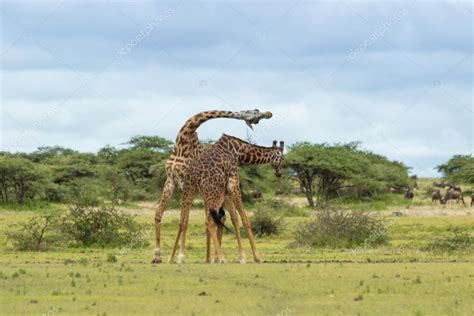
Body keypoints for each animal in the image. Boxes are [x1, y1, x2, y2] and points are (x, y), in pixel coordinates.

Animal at [152, 110, 270, 262]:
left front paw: (180, 256)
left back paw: (222, 257)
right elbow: (159, 214)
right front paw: (157, 256)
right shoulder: (170, 180)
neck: (181, 144)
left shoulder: (185, 183)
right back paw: (213, 258)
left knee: (226, 217)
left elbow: (185, 221)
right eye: (254, 113)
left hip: (221, 194)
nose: (268, 114)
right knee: (220, 217)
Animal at [168, 135, 284, 264]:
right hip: (214, 195)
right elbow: (244, 219)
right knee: (209, 221)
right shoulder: (233, 185)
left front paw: (241, 257)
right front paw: (256, 257)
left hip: (189, 192)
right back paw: (222, 258)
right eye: (282, 158)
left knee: (183, 221)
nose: (279, 173)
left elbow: (233, 218)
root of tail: (195, 174)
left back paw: (178, 257)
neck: (238, 151)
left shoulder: (226, 193)